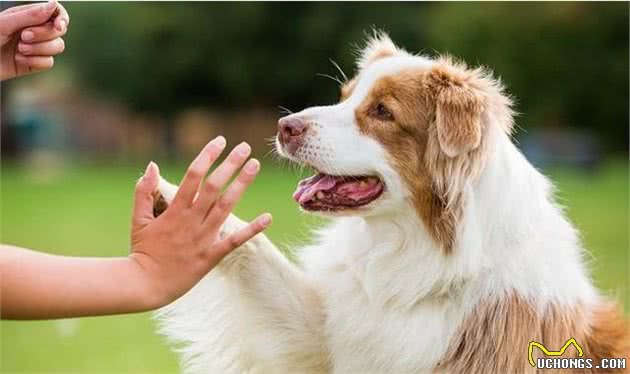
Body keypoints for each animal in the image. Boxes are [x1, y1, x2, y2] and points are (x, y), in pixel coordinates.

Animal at [154, 33, 630, 372]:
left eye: (383, 112)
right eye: (344, 96)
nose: (284, 126)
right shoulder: (324, 338)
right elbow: (256, 250)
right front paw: (180, 204)